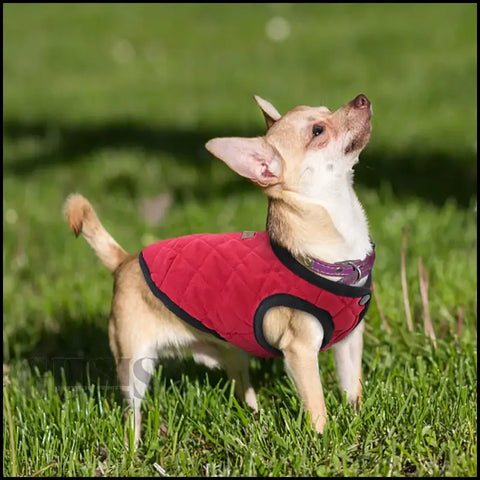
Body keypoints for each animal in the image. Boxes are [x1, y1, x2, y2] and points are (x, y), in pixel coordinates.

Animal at [63, 93, 376, 446]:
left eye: (325, 109)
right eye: (318, 131)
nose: (361, 98)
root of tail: (125, 260)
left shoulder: (349, 343)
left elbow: (352, 388)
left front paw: (357, 419)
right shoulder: (300, 351)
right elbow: (316, 405)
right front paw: (321, 441)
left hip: (232, 351)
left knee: (242, 387)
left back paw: (255, 418)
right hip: (135, 364)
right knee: (133, 410)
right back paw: (134, 445)